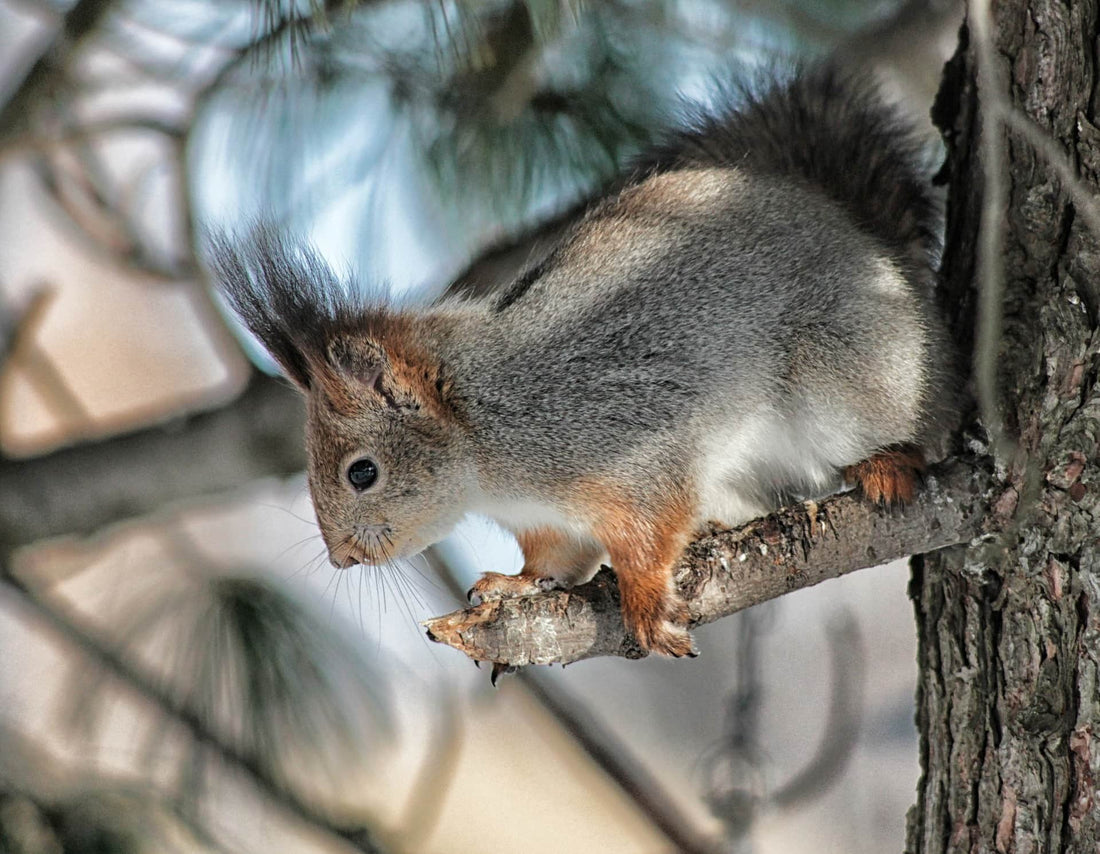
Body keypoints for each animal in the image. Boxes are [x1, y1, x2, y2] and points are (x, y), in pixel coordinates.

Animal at [210, 66, 959, 655]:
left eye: (361, 473)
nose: (341, 558)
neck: (483, 442)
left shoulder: (627, 447)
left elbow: (649, 532)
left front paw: (645, 603)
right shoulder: (547, 520)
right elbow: (555, 559)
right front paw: (511, 583)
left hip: (847, 377)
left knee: (913, 426)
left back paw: (888, 462)